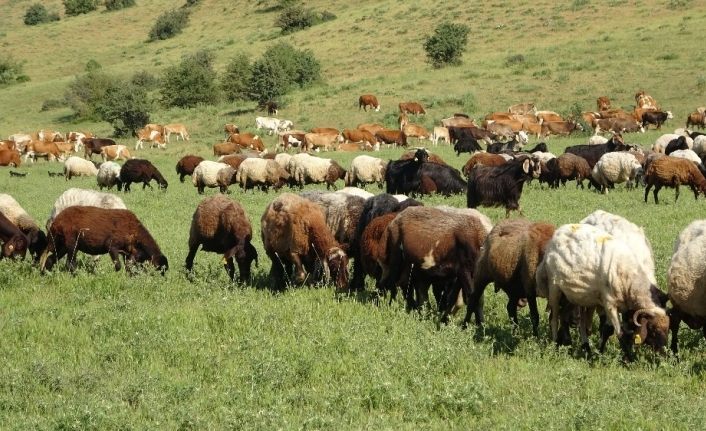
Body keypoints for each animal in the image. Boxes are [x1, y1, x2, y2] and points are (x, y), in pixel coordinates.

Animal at [536, 224, 668, 360]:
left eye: (668, 328)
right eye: (653, 329)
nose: (664, 354)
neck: (629, 279)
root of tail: (557, 234)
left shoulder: (623, 308)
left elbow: (614, 330)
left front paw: (603, 352)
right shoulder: (609, 303)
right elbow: (618, 332)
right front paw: (629, 358)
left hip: (571, 295)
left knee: (566, 317)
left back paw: (574, 345)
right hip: (554, 289)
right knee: (554, 318)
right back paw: (555, 344)